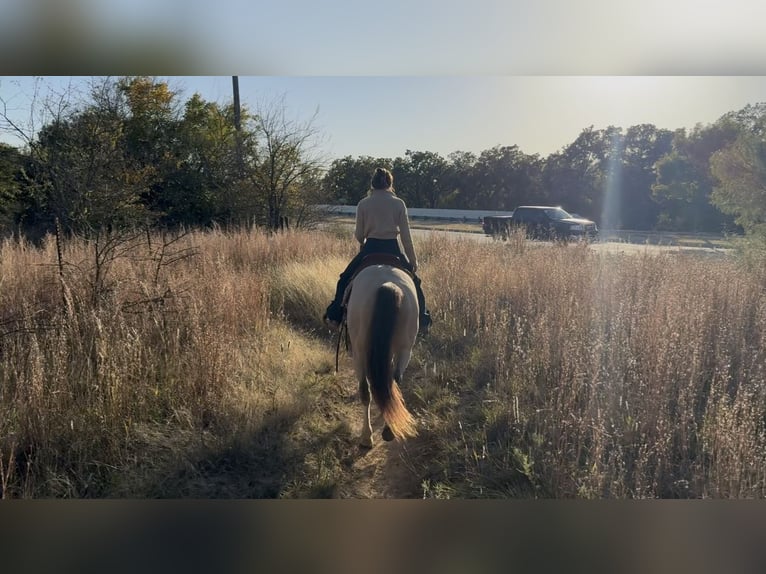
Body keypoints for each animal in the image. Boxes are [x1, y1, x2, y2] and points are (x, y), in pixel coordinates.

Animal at [345, 263, 419, 448]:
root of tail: (387, 284)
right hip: (405, 349)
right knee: (394, 381)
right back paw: (388, 430)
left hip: (359, 351)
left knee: (365, 391)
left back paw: (366, 437)